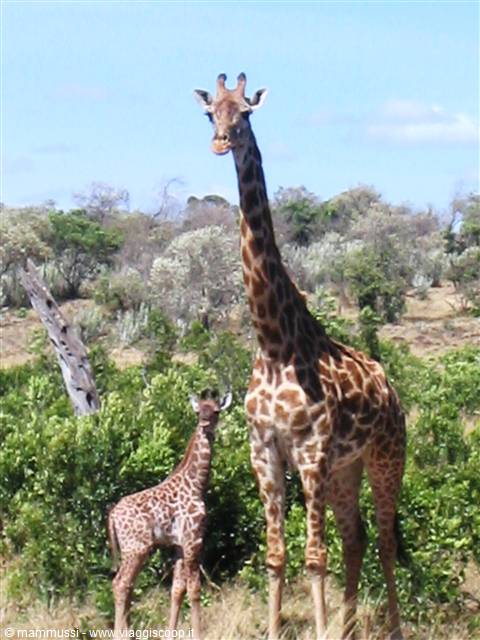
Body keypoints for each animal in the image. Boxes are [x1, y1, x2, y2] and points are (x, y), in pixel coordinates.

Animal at [107, 389, 232, 640]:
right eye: (198, 411)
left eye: (215, 411)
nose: (205, 423)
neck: (196, 484)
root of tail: (113, 515)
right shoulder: (194, 539)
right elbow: (195, 588)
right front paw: (198, 634)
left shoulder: (178, 545)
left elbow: (177, 590)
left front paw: (170, 634)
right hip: (137, 548)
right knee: (120, 584)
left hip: (133, 549)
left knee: (127, 586)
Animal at [194, 74, 406, 640]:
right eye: (210, 113)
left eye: (245, 112)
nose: (220, 142)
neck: (273, 342)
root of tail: (393, 392)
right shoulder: (263, 453)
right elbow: (276, 556)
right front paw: (277, 628)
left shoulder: (310, 454)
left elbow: (314, 558)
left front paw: (319, 626)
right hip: (345, 470)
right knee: (356, 538)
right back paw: (349, 626)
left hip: (386, 457)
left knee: (382, 541)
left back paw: (392, 628)